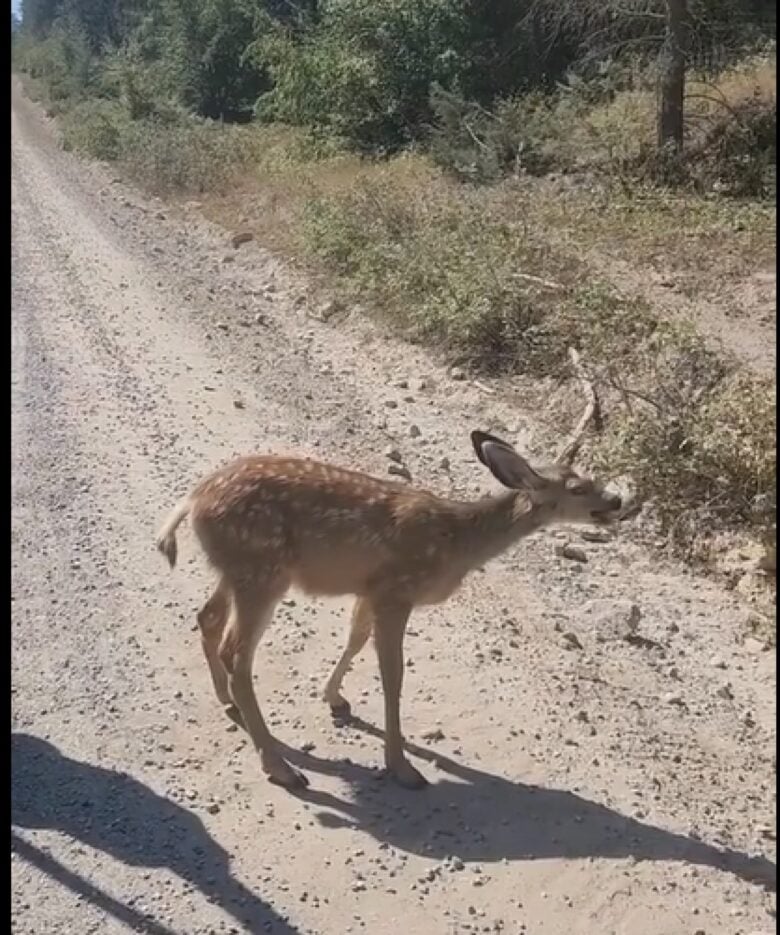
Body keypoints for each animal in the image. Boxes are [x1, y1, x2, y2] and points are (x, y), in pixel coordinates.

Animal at [157, 352, 620, 788]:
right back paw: (281, 767)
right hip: (261, 571)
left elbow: (355, 639)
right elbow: (393, 676)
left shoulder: (371, 588)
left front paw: (334, 698)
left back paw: (229, 704)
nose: (616, 502)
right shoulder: (397, 589)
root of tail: (192, 500)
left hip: (237, 568)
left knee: (208, 618)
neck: (456, 539)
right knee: (237, 654)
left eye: (589, 478)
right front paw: (402, 767)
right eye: (578, 489)